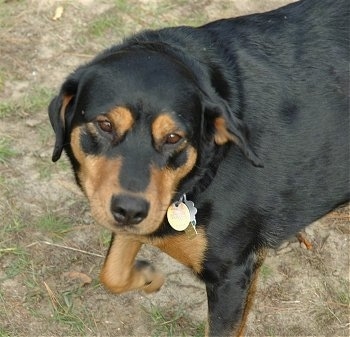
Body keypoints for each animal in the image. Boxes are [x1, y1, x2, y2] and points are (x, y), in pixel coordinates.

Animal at [47, 0, 348, 334]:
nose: (129, 210)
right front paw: (148, 276)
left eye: (173, 137)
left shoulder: (231, 276)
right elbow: (112, 272)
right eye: (104, 124)